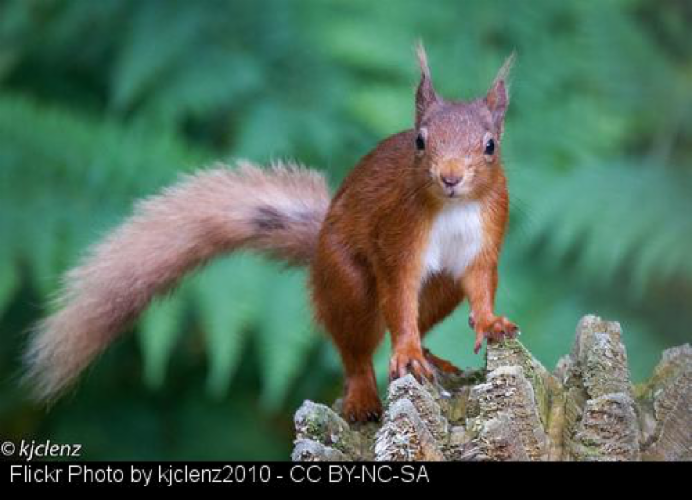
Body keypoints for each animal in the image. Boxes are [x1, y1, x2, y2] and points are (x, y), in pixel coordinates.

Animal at [24, 43, 518, 422]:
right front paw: (408, 353)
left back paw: (433, 357)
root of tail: (317, 249)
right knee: (355, 349)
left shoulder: (486, 238)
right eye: (420, 141)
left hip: (440, 289)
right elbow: (398, 299)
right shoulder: (398, 238)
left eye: (490, 146)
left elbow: (481, 283)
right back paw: (364, 394)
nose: (450, 177)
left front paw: (490, 322)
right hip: (346, 282)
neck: (453, 209)